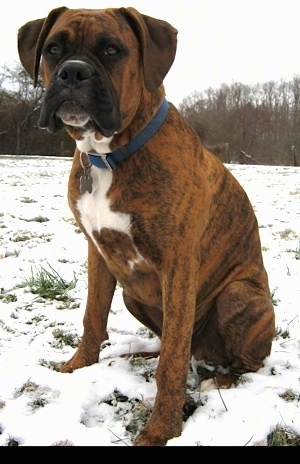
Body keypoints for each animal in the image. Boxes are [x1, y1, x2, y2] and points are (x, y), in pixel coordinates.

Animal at [17, 6, 276, 446]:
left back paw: (219, 381)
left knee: (232, 360)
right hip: (133, 293)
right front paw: (78, 366)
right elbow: (92, 317)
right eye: (53, 49)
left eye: (112, 50)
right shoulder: (99, 252)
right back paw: (136, 354)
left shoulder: (178, 264)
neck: (108, 154)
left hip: (238, 296)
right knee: (174, 344)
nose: (73, 72)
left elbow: (172, 362)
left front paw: (162, 430)